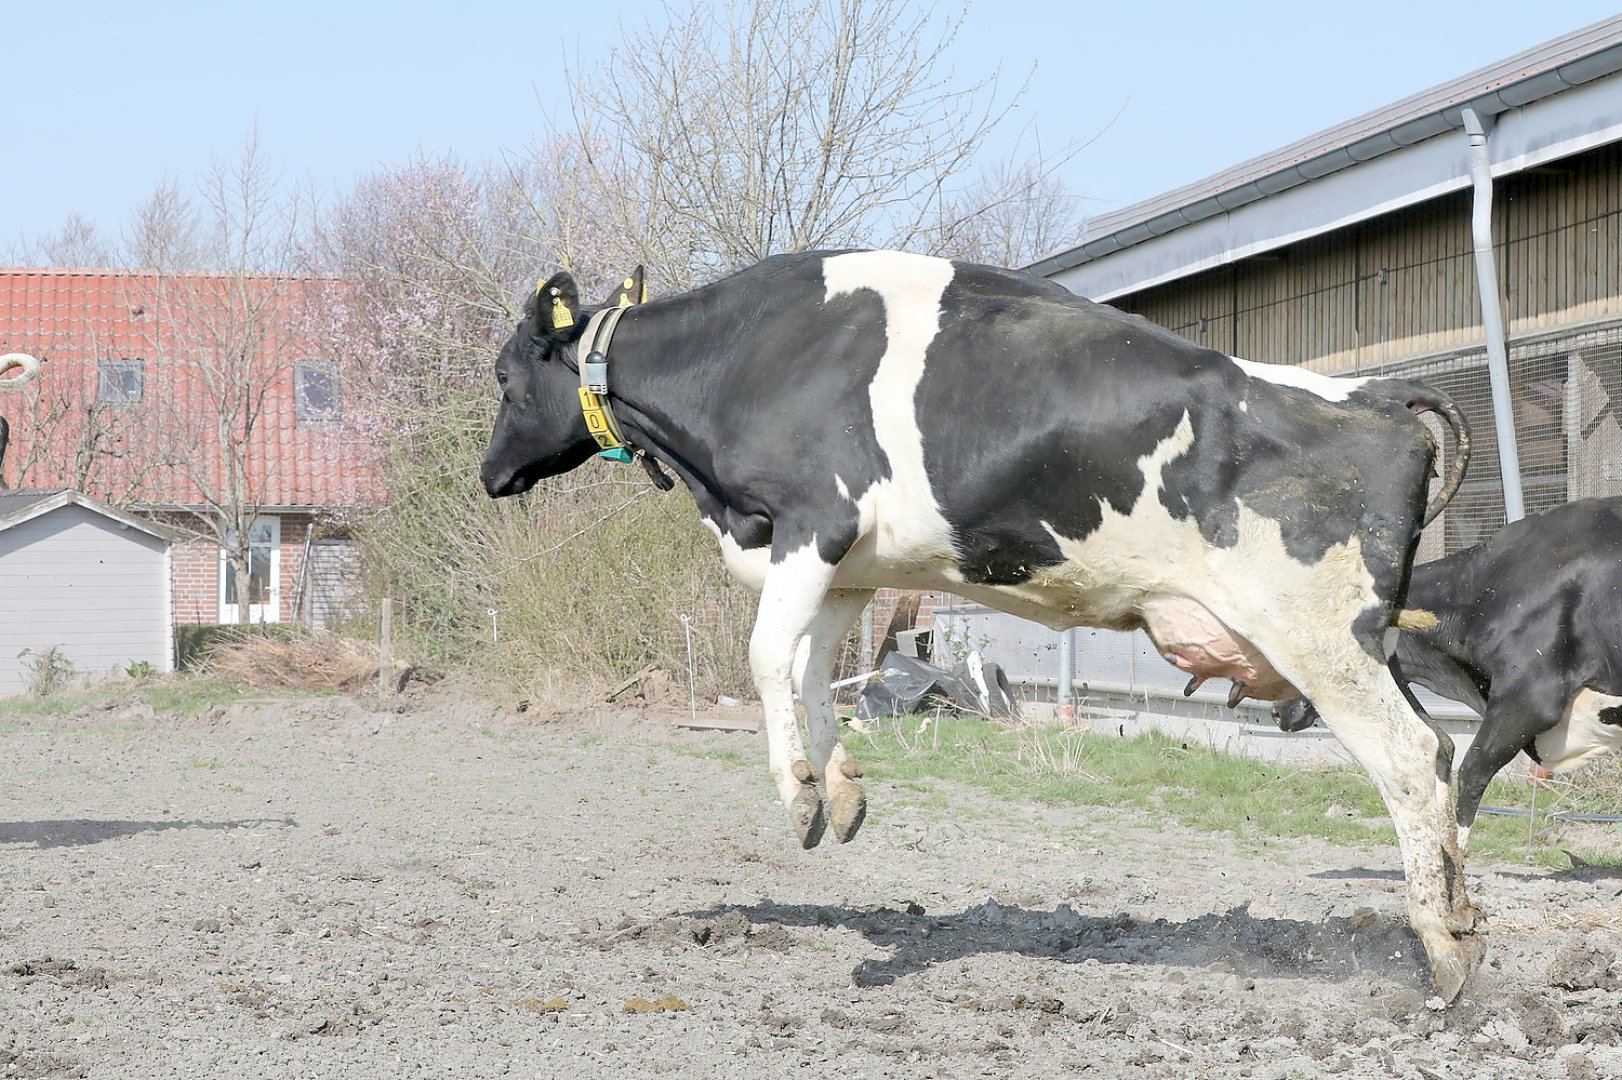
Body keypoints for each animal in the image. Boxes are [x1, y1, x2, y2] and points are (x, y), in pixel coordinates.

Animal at [479, 249, 1483, 998]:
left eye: (502, 377)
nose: (489, 475)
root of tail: (1380, 398)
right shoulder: (853, 565)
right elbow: (812, 672)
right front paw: (843, 794)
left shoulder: (814, 521)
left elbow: (765, 657)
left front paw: (802, 799)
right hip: (1362, 641)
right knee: (1440, 753)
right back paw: (1462, 927)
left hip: (1318, 635)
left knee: (1408, 759)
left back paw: (1444, 956)